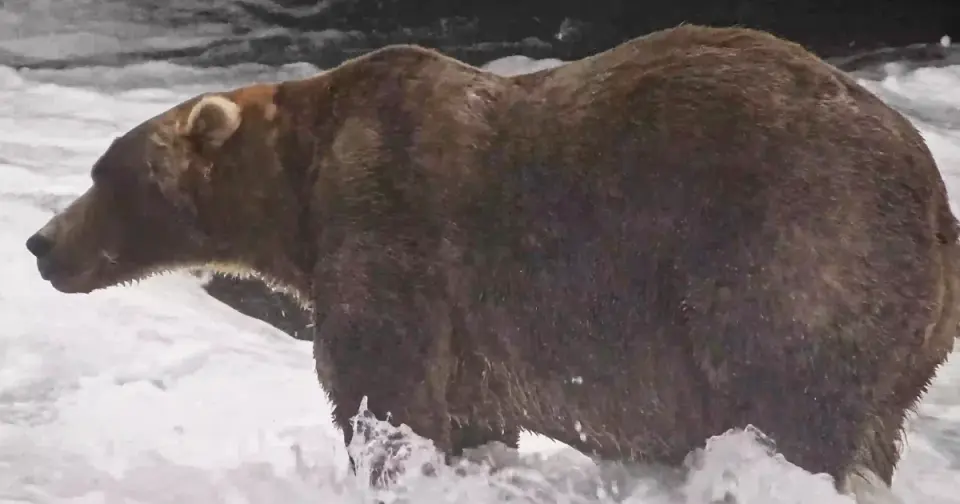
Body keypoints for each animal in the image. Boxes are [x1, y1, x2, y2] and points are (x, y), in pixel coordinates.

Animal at [24, 24, 960, 498]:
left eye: (105, 172)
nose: (40, 243)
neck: (299, 191)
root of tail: (935, 196)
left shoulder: (393, 226)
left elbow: (384, 390)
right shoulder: (470, 332)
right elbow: (468, 417)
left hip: (793, 244)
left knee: (789, 396)